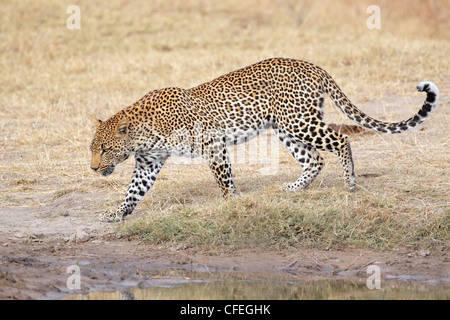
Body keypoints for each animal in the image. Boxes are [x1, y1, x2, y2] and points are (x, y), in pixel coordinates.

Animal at [90, 58, 440, 222]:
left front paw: (231, 203)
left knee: (341, 140)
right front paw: (116, 214)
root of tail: (312, 65)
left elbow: (224, 179)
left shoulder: (212, 143)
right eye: (93, 150)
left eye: (104, 149)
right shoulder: (148, 163)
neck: (141, 134)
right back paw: (293, 189)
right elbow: (133, 192)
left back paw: (350, 184)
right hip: (286, 127)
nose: (93, 169)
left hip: (299, 121)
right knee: (315, 159)